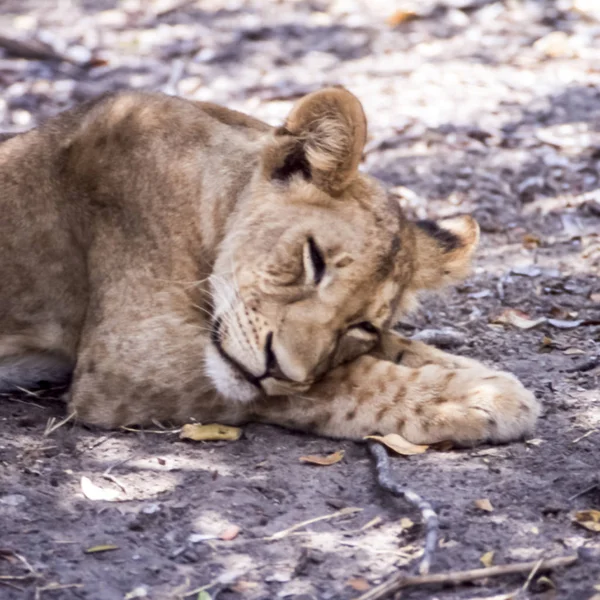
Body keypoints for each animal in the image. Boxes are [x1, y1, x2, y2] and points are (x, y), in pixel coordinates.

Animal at [0, 89, 540, 446]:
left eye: (361, 325)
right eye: (313, 260)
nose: (279, 369)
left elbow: (396, 350)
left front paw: (480, 376)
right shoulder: (126, 357)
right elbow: (347, 381)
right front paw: (473, 398)